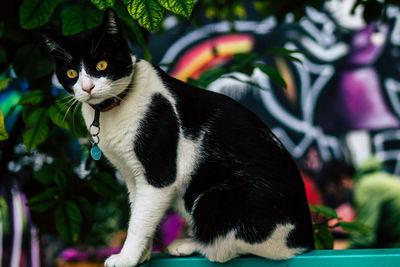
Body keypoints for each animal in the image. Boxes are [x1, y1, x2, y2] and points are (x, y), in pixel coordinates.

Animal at [42, 8, 314, 267]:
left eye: (101, 65)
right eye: (71, 73)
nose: (87, 88)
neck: (109, 109)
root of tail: (305, 238)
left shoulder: (158, 175)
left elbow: (138, 221)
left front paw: (126, 258)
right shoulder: (132, 176)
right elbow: (140, 212)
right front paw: (141, 256)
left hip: (212, 199)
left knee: (227, 250)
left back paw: (190, 244)